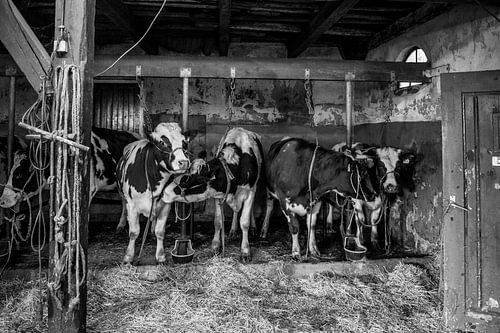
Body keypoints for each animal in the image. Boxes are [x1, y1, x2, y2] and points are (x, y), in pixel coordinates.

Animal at [116, 120, 192, 264]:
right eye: (162, 142)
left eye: (184, 142)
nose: (184, 162)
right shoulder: (132, 205)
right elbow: (134, 232)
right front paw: (128, 257)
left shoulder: (166, 204)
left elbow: (160, 231)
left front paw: (161, 256)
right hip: (123, 196)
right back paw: (121, 224)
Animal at [156, 127, 264, 262]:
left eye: (187, 180)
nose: (164, 192)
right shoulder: (218, 195)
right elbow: (217, 222)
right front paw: (215, 246)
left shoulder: (249, 192)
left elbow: (244, 222)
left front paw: (245, 251)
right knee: (235, 210)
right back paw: (233, 229)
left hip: (257, 185)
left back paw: (253, 227)